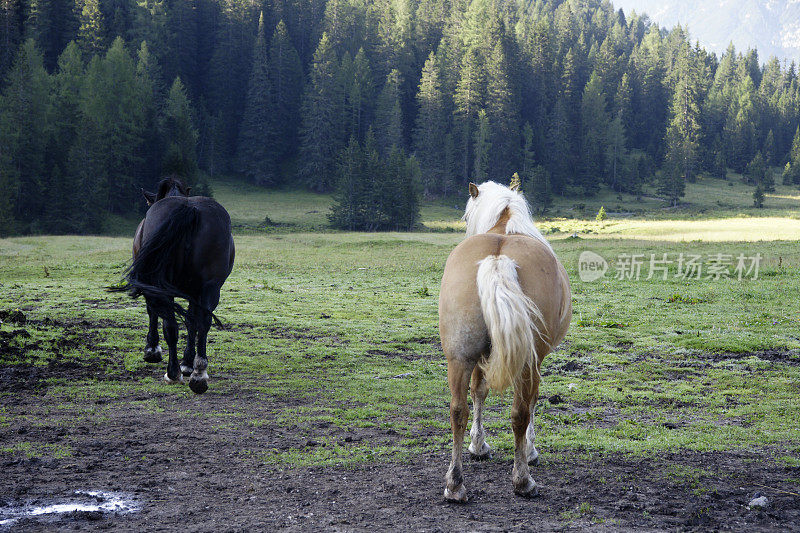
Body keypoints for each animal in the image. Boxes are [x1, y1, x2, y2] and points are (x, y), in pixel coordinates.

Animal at [115, 177, 234, 392]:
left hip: (163, 286)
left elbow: (153, 313)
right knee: (202, 322)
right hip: (210, 287)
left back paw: (173, 373)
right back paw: (198, 375)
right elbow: (191, 322)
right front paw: (187, 364)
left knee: (170, 324)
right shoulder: (196, 292)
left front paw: (152, 350)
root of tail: (189, 209)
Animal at [440, 179, 572, 498]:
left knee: (458, 410)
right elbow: (533, 403)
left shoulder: (479, 357)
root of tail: (498, 258)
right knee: (520, 412)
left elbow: (478, 392)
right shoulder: (537, 360)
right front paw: (531, 450)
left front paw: (478, 445)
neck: (506, 226)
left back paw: (455, 484)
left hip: (460, 356)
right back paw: (523, 479)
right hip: (527, 362)